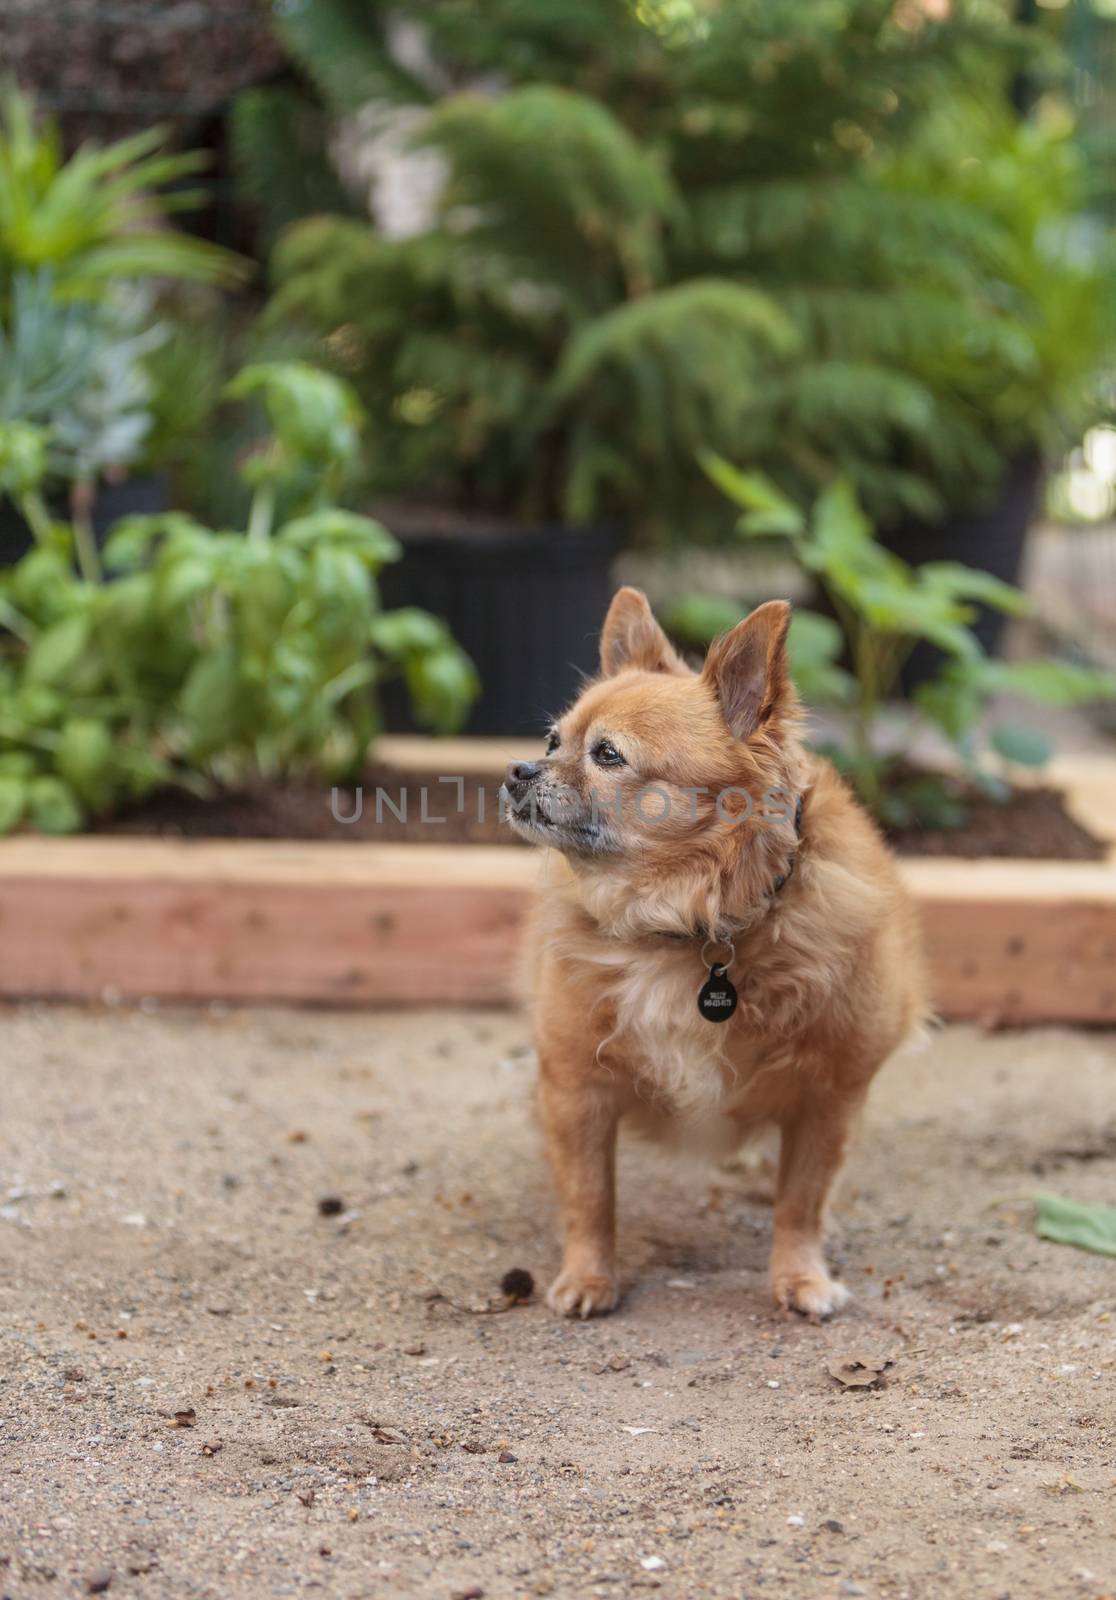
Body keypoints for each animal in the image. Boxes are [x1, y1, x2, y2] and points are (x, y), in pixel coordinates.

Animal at [505, 595, 920, 1318]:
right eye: (553, 742)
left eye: (607, 755)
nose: (518, 770)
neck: (685, 926)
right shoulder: (576, 1087)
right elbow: (590, 1194)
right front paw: (589, 1276)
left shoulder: (829, 1097)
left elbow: (802, 1200)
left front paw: (799, 1276)